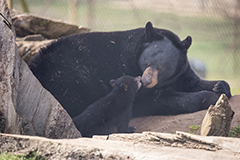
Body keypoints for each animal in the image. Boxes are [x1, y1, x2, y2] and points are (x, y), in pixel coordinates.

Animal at [28, 21, 231, 117]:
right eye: (147, 63)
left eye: (161, 67)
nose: (146, 81)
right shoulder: (129, 74)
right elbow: (155, 101)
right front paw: (210, 97)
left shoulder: (181, 71)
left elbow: (193, 81)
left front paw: (220, 87)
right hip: (72, 78)